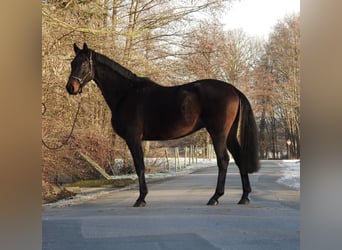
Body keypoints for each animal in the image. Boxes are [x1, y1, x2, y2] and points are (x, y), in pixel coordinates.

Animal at [66, 43, 260, 207]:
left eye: (84, 64)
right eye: (72, 63)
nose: (71, 87)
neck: (126, 94)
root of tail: (233, 89)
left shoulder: (133, 138)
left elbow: (140, 166)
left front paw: (141, 198)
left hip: (218, 133)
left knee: (224, 160)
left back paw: (215, 197)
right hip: (230, 134)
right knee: (239, 158)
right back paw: (244, 197)